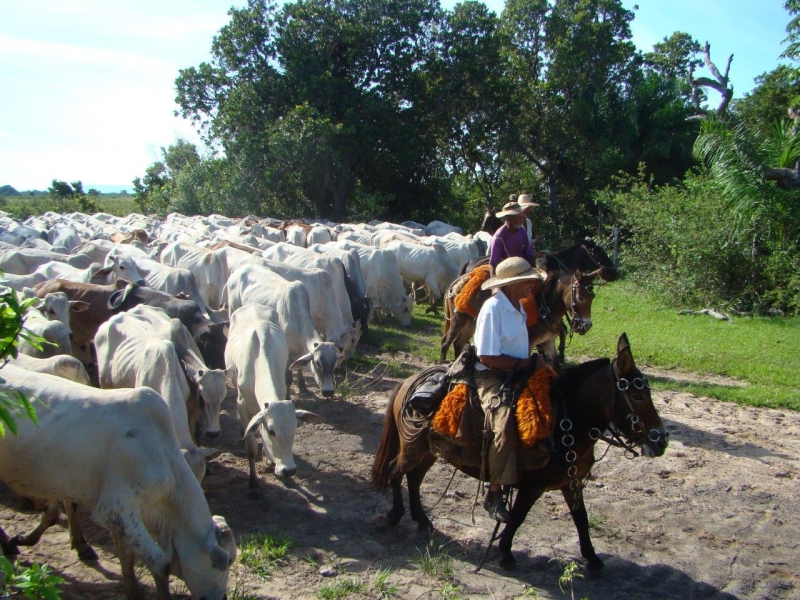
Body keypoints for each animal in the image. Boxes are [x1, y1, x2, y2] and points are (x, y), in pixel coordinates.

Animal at [0, 366, 234, 600]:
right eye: (226, 562)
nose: (223, 597)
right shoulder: (113, 511)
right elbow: (161, 564)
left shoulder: (119, 517)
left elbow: (127, 557)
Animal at [225, 304, 322, 482]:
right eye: (272, 431)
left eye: (295, 428)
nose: (289, 470)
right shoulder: (242, 404)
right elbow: (251, 446)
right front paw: (253, 481)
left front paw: (268, 458)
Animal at [372, 332, 664, 572]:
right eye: (637, 395)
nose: (661, 441)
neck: (565, 421)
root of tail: (408, 382)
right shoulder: (532, 485)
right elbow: (518, 517)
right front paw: (505, 553)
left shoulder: (571, 483)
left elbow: (581, 518)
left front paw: (592, 559)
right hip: (413, 448)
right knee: (396, 471)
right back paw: (395, 515)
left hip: (429, 451)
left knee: (414, 478)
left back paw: (423, 521)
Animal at [440, 266, 604, 360]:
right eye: (580, 297)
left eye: (592, 297)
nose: (586, 326)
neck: (544, 306)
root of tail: (458, 281)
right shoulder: (529, 344)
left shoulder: (548, 342)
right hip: (459, 319)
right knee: (446, 343)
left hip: (471, 323)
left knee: (459, 344)